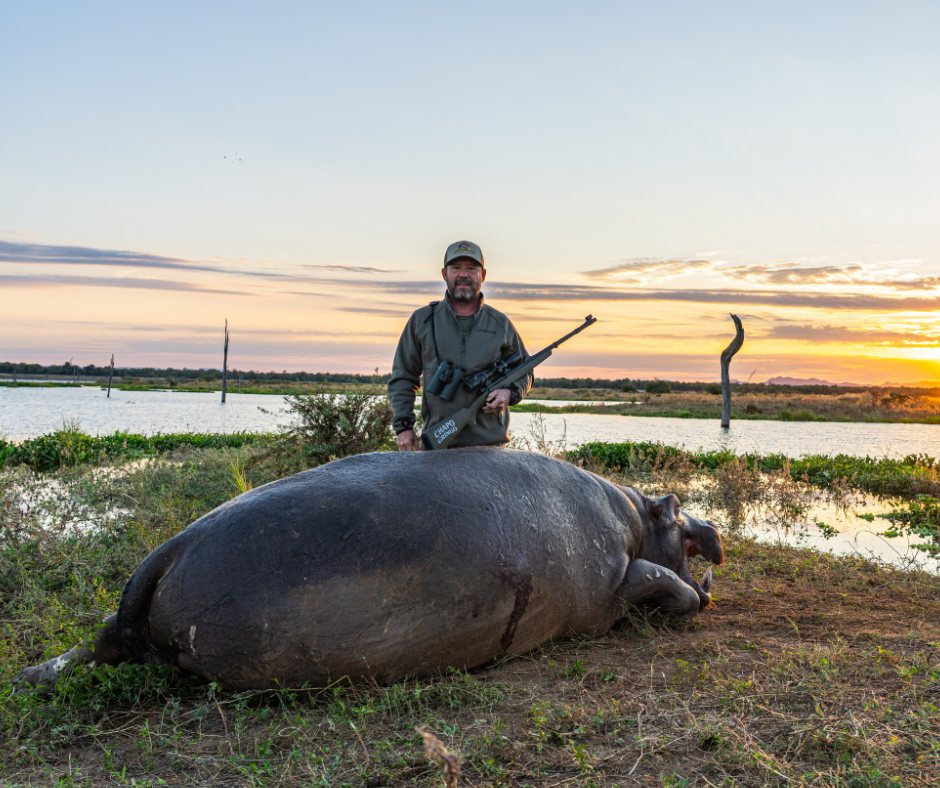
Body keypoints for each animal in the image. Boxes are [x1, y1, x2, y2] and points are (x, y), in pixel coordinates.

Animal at [16, 448, 723, 691]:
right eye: (676, 506)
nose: (711, 533)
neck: (635, 514)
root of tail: (171, 549)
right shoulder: (615, 582)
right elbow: (665, 583)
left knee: (99, 641)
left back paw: (31, 678)